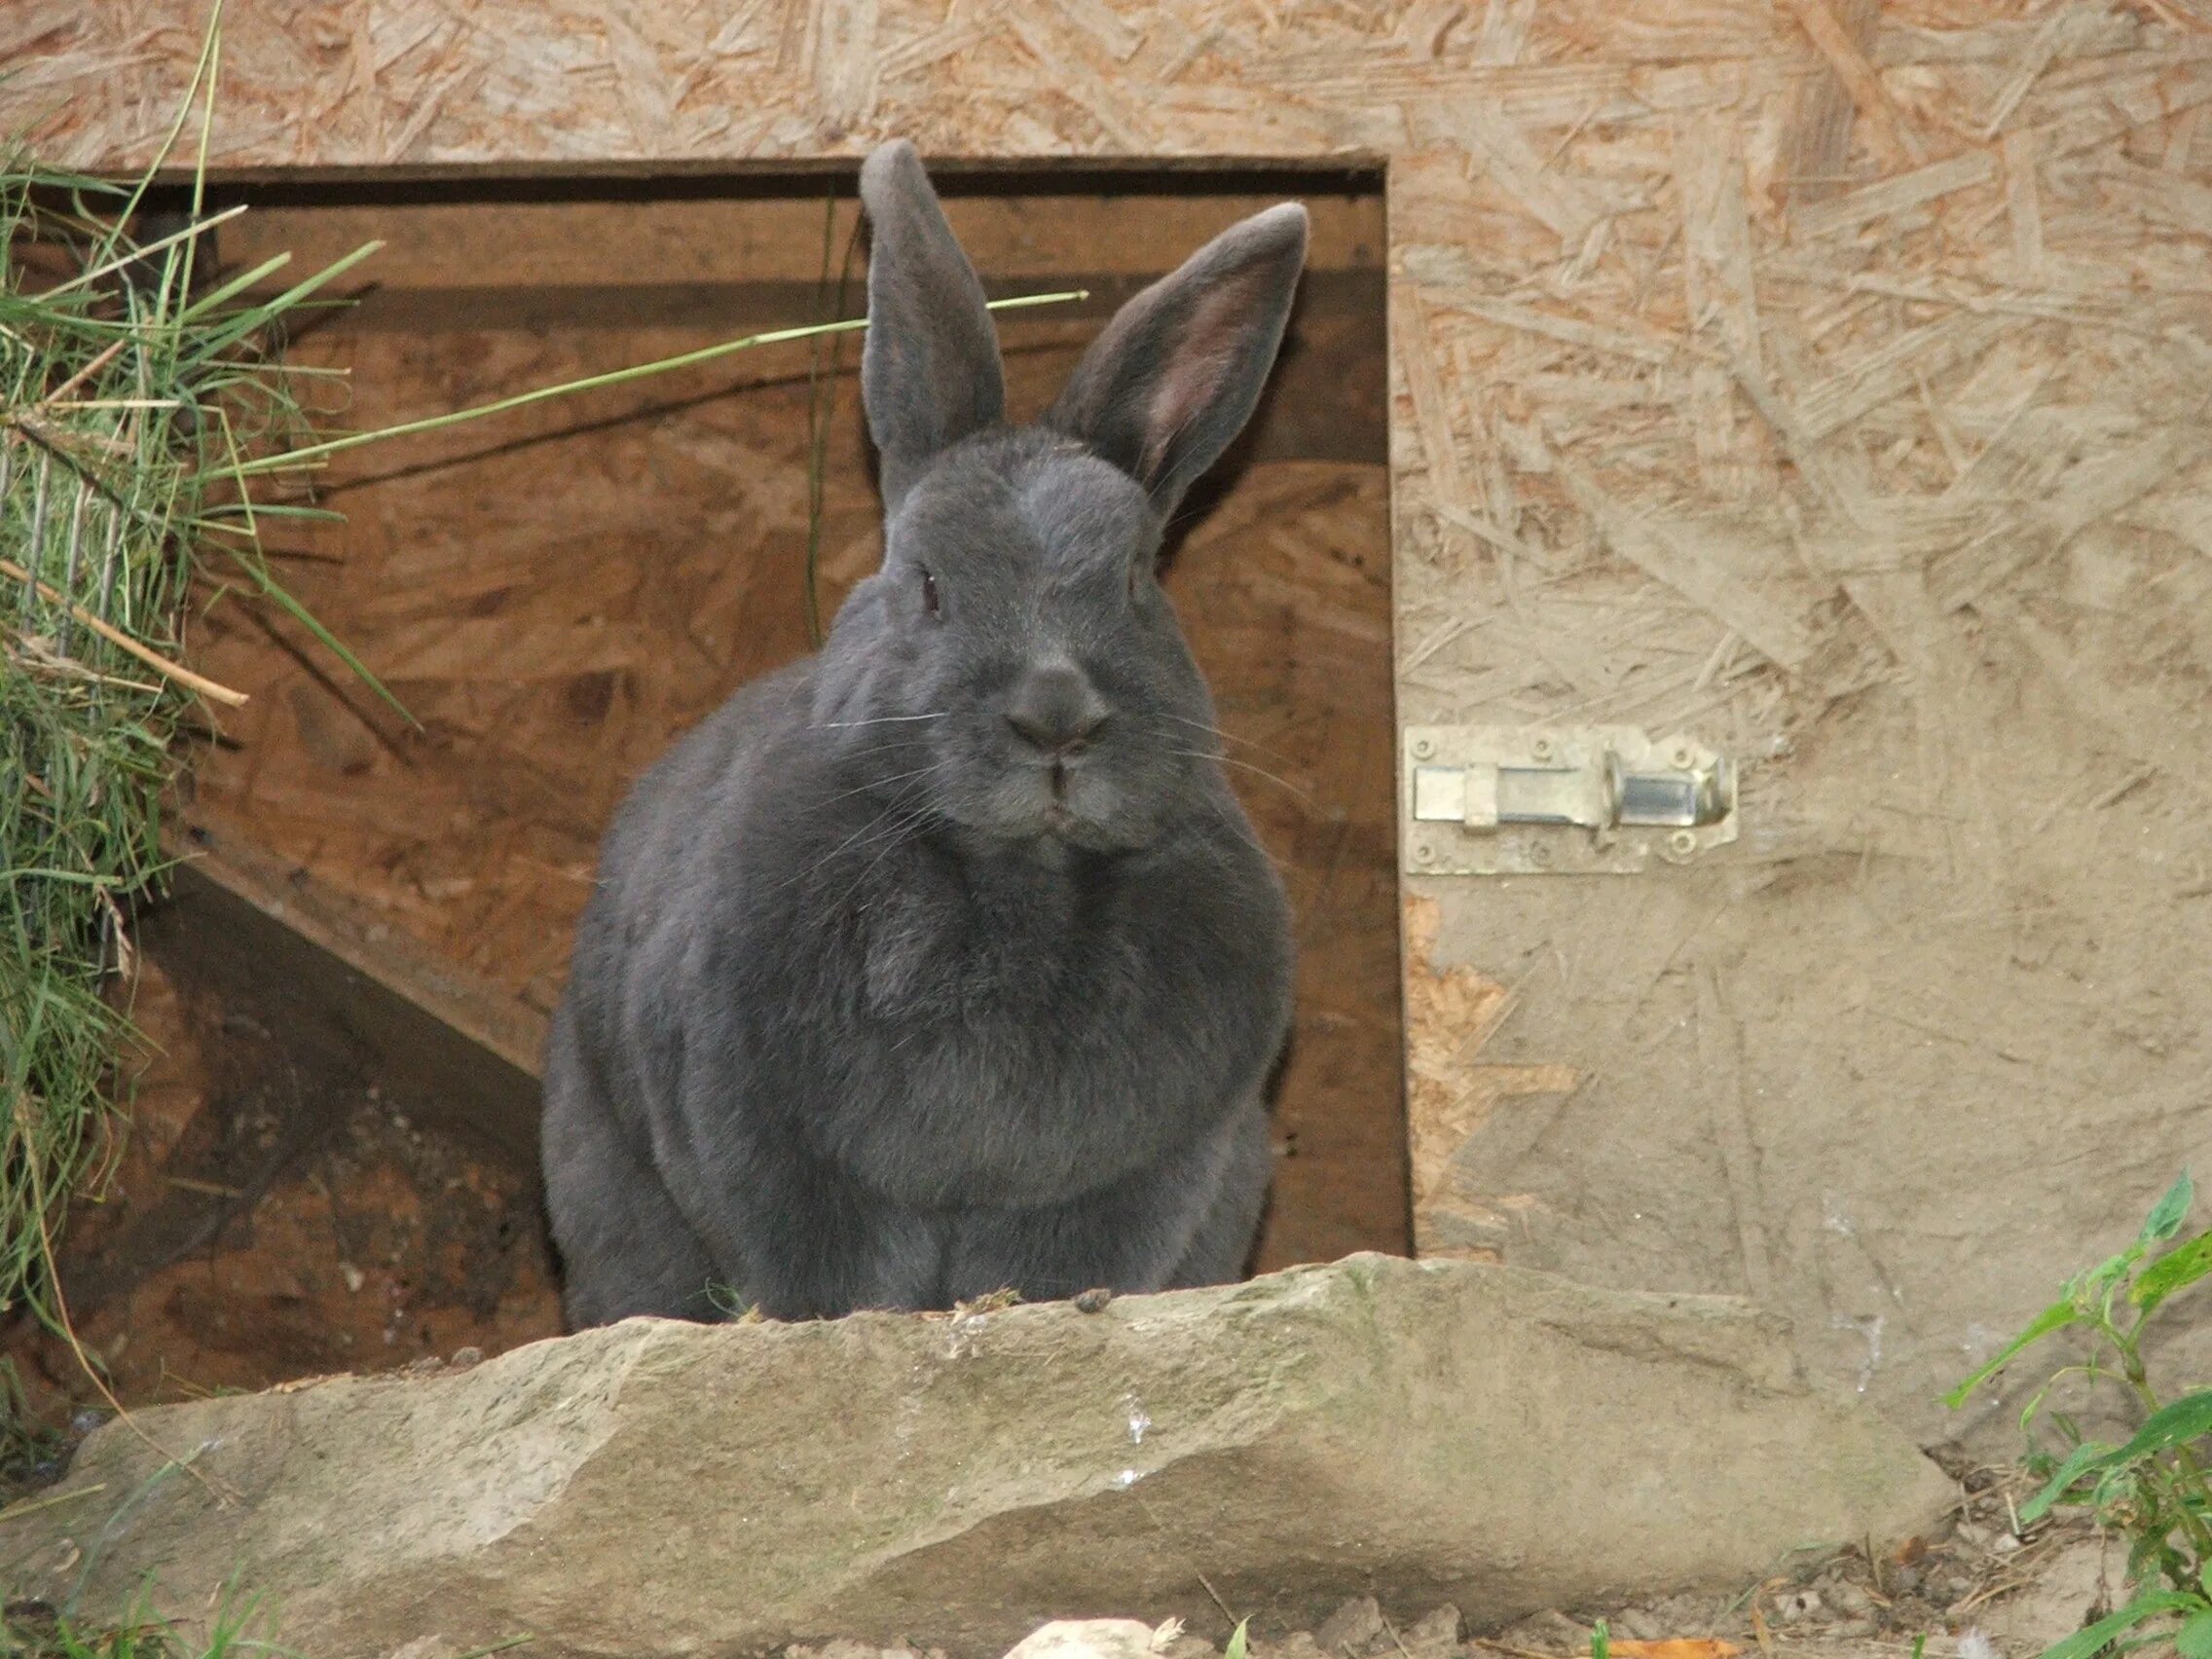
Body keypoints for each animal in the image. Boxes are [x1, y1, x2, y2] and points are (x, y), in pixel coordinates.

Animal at [543, 145, 1300, 1336]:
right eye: (930, 583)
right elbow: (828, 1275)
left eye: (1139, 581)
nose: (1056, 717)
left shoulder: (1138, 1174)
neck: (1020, 878)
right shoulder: (769, 1145)